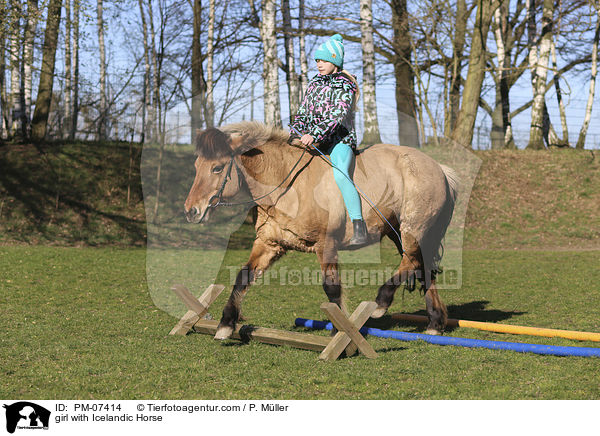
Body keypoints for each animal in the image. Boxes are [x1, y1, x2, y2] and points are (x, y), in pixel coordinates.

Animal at [185, 122, 458, 340]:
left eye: (217, 168)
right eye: (196, 165)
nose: (191, 211)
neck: (287, 185)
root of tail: (439, 168)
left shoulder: (326, 245)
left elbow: (331, 288)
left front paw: (340, 331)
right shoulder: (269, 244)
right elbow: (243, 277)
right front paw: (225, 324)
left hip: (413, 229)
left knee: (411, 261)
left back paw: (382, 302)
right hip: (399, 232)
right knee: (421, 267)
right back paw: (434, 323)